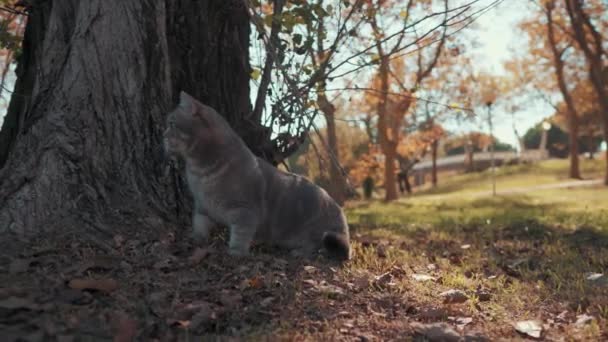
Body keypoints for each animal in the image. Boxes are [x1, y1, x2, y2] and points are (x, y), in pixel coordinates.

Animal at [163, 91, 352, 260]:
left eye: (171, 123)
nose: (162, 135)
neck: (199, 171)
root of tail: (341, 216)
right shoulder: (202, 207)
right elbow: (199, 226)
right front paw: (196, 240)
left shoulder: (245, 211)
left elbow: (240, 235)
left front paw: (236, 253)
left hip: (318, 232)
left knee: (318, 247)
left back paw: (300, 252)